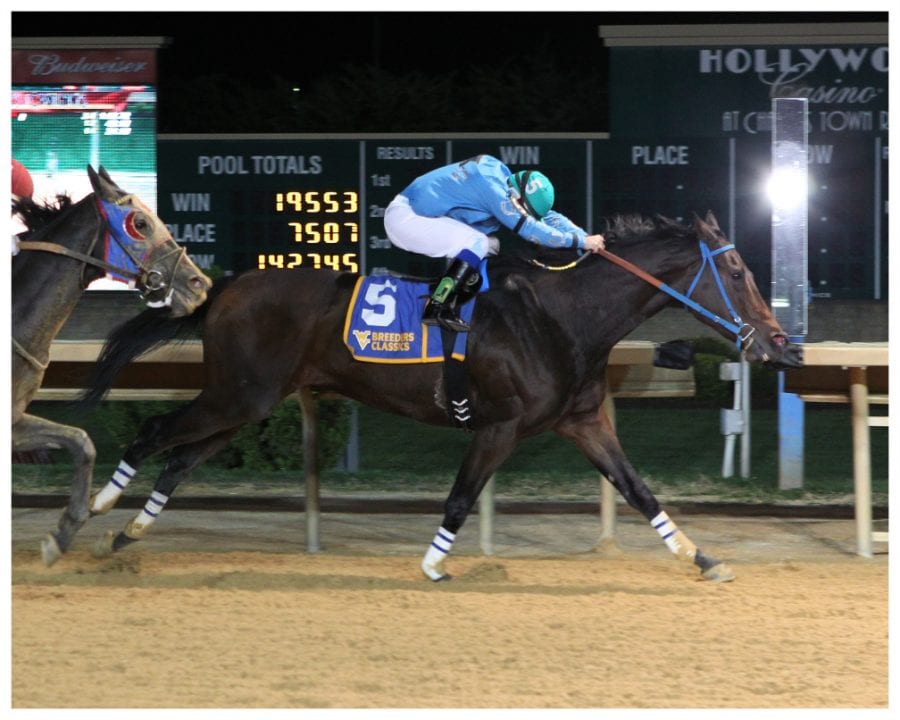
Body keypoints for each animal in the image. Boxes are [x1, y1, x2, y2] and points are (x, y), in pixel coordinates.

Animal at [82, 212, 800, 580]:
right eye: (738, 270)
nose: (780, 343)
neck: (563, 316)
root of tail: (227, 285)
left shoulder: (582, 422)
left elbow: (638, 489)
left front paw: (698, 555)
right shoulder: (498, 426)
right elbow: (460, 495)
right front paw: (433, 563)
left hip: (249, 401)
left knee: (180, 458)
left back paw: (130, 534)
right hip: (237, 395)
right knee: (152, 435)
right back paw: (96, 506)